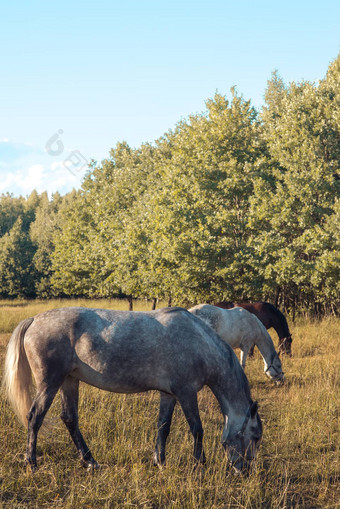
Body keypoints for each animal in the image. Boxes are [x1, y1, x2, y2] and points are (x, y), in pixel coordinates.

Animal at [2, 306, 262, 472]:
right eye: (256, 435)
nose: (245, 470)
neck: (199, 343)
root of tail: (34, 320)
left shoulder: (169, 394)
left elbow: (163, 426)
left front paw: (160, 460)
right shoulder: (186, 393)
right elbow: (197, 429)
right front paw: (200, 463)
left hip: (69, 380)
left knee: (69, 419)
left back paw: (90, 461)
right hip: (51, 382)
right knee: (35, 417)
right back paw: (32, 462)